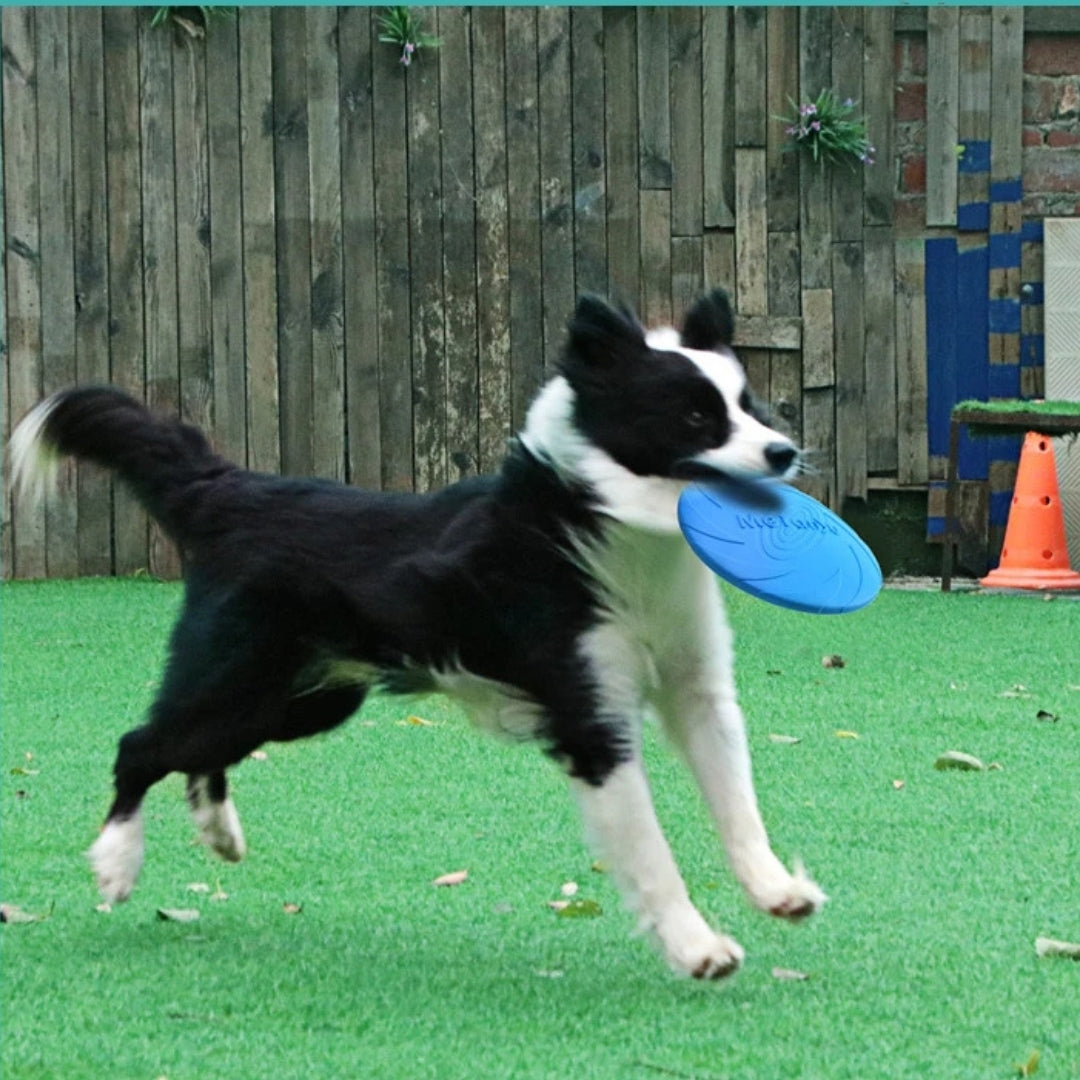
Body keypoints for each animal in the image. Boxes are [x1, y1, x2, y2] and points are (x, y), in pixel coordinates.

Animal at [8, 289, 820, 980]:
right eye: (694, 418)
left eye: (747, 405)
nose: (783, 452)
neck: (602, 528)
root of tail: (232, 490)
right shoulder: (591, 722)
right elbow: (652, 852)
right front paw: (697, 948)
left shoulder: (699, 691)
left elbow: (738, 802)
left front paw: (776, 889)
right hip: (239, 677)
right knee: (140, 745)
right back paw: (117, 862)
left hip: (302, 699)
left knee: (197, 751)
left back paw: (217, 830)